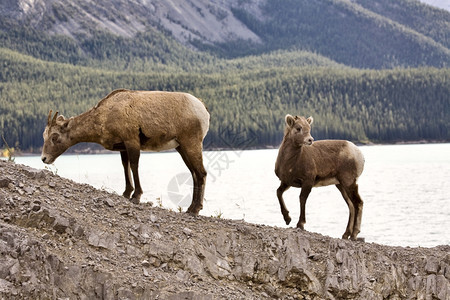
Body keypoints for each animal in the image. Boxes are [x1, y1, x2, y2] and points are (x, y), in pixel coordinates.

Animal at [41, 89, 210, 213]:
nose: (44, 158)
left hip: (191, 143)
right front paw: (126, 193)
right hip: (181, 147)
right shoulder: (122, 146)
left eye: (55, 137)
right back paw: (190, 208)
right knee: (194, 173)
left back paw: (195, 210)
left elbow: (134, 166)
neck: (104, 117)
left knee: (201, 173)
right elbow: (125, 166)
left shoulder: (132, 141)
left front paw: (136, 196)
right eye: (44, 136)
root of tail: (204, 111)